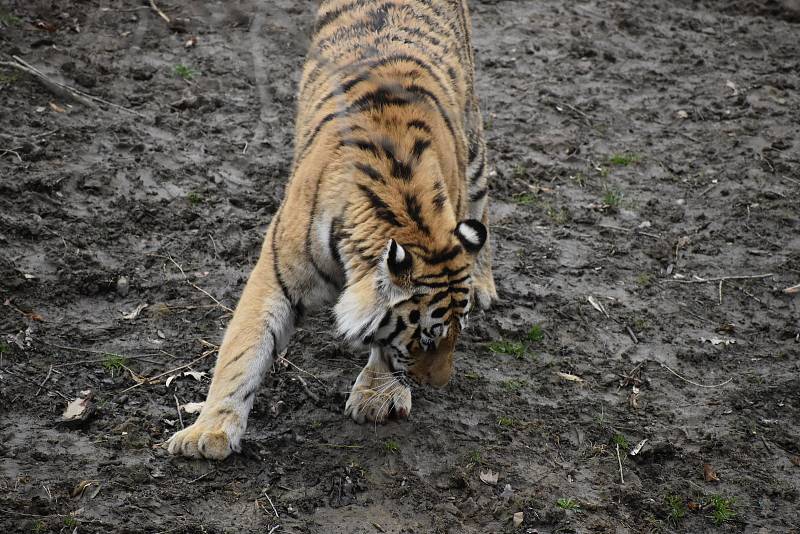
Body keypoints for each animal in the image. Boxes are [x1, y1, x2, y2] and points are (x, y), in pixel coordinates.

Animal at [167, 0, 494, 460]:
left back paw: (483, 282)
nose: (441, 385)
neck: (407, 213)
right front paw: (208, 433)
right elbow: (242, 350)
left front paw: (376, 396)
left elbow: (382, 347)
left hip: (473, 141)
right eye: (427, 340)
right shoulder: (276, 275)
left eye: (456, 333)